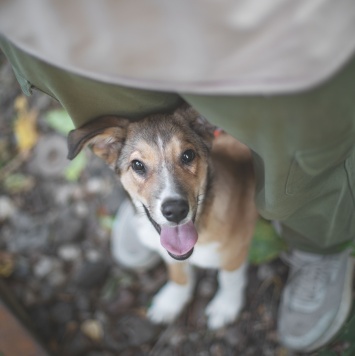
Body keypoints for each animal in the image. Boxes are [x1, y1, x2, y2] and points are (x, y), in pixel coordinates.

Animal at [67, 104, 258, 330]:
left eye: (188, 155)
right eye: (137, 165)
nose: (175, 210)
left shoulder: (235, 252)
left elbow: (230, 279)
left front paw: (226, 306)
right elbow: (178, 274)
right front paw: (171, 302)